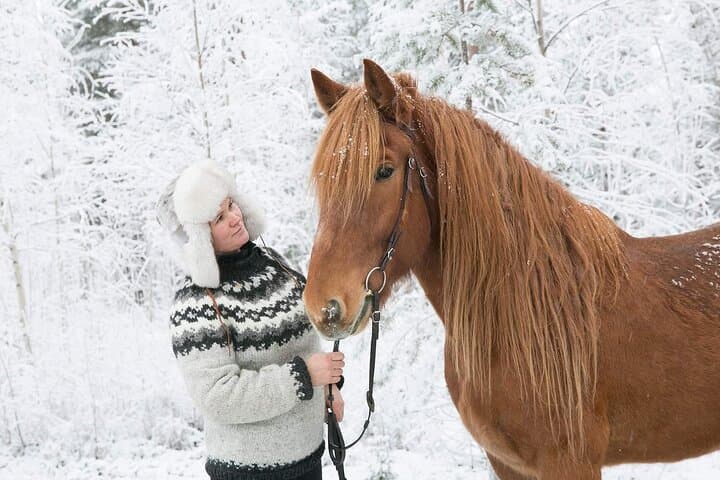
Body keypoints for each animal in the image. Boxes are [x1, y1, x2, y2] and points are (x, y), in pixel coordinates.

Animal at [302, 59, 720, 479]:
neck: (528, 306)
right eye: (323, 180)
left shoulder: (569, 462)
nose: (325, 307)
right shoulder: (506, 462)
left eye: (384, 171)